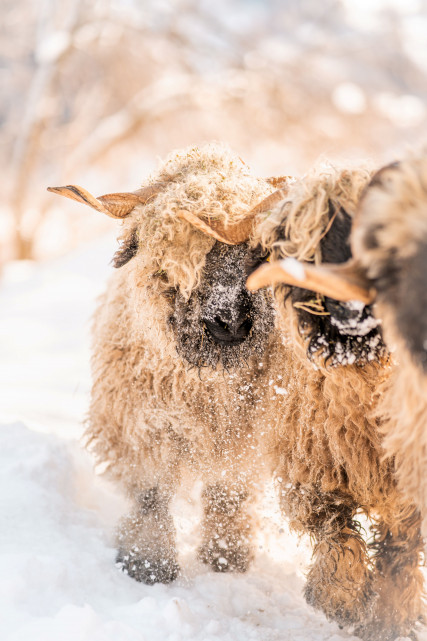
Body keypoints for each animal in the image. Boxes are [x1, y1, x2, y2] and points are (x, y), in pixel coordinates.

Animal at [47, 142, 291, 585]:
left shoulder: (245, 440)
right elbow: (152, 495)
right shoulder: (141, 426)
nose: (229, 322)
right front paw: (148, 564)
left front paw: (226, 560)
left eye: (261, 251)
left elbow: (228, 495)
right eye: (168, 256)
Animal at [246, 163, 424, 641]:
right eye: (306, 244)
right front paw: (341, 603)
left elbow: (401, 554)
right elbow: (336, 536)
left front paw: (389, 619)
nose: (351, 308)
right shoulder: (309, 471)